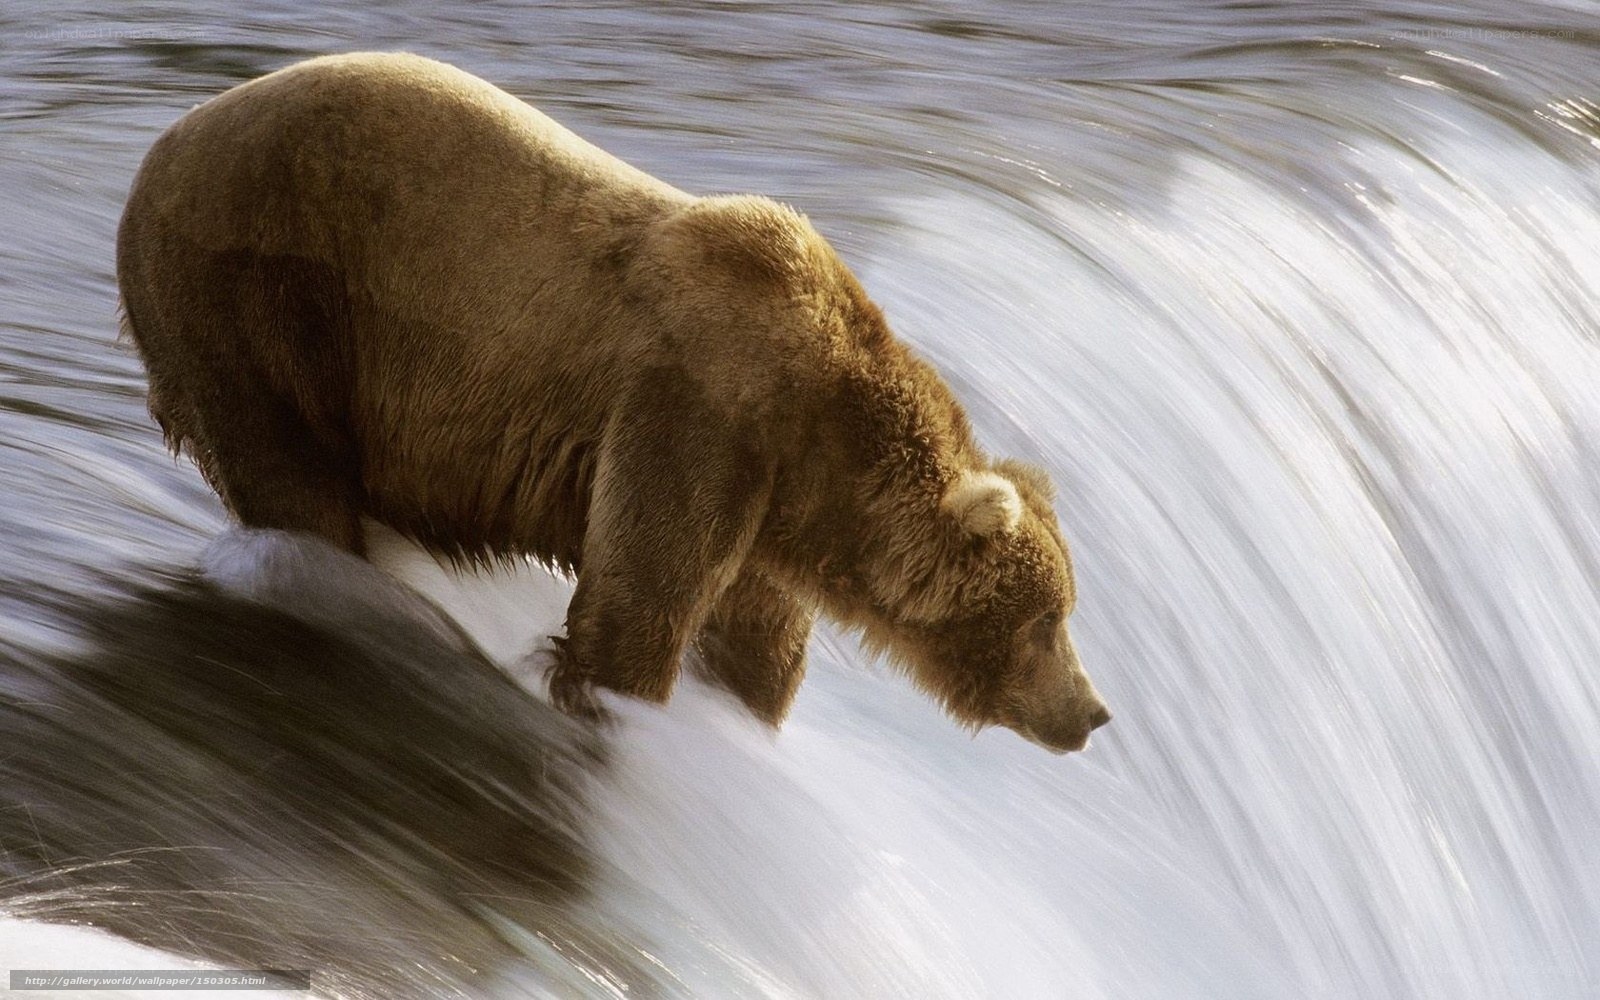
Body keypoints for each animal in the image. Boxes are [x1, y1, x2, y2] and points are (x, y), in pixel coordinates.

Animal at [116, 52, 1112, 752]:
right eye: (1047, 619)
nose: (1094, 711)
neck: (821, 441)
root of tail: (160, 147)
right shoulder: (698, 411)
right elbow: (639, 603)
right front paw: (617, 707)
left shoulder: (767, 508)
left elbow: (755, 645)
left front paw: (741, 714)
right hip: (263, 293)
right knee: (291, 474)